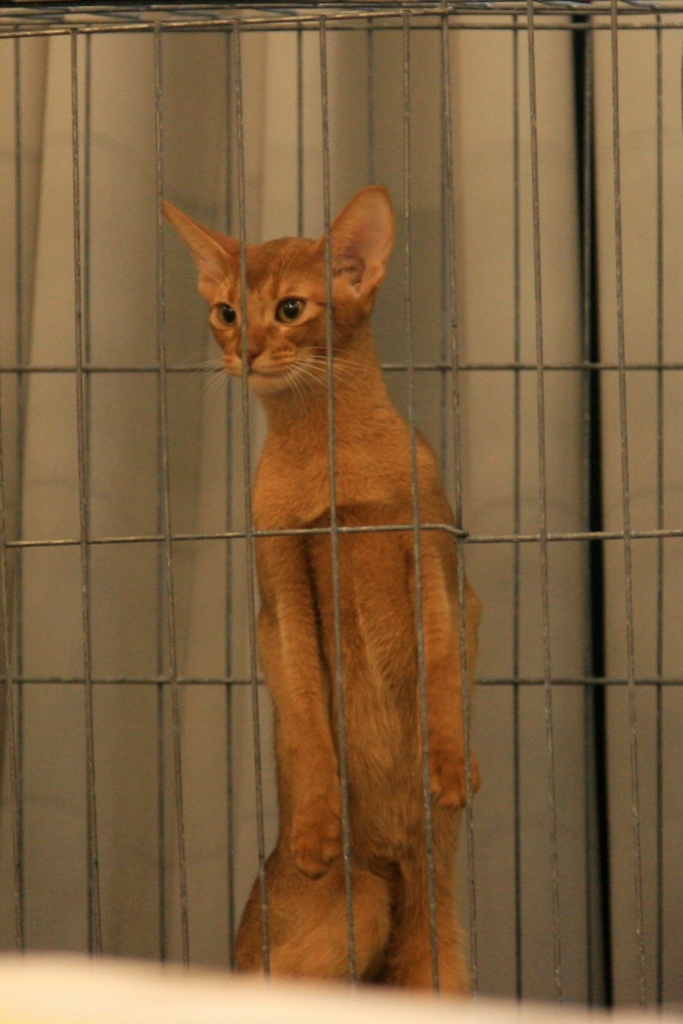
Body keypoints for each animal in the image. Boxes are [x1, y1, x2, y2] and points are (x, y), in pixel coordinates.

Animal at [164, 186, 480, 994]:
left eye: (290, 309)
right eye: (226, 311)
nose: (243, 352)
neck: (330, 463)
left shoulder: (436, 560)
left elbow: (440, 669)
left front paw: (449, 768)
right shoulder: (279, 591)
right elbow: (306, 715)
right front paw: (314, 831)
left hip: (438, 953)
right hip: (353, 911)